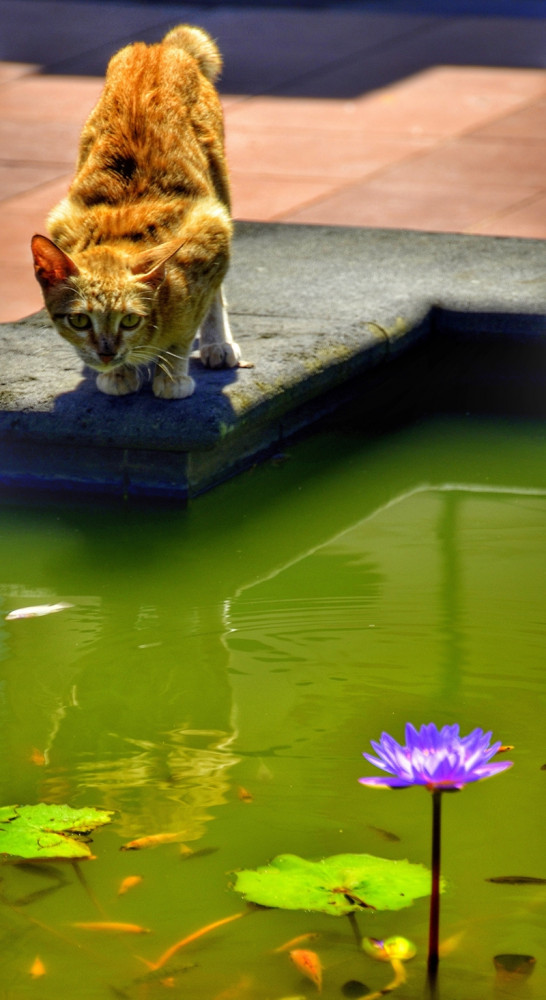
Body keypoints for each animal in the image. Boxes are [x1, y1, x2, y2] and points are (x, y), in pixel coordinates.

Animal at [30, 25, 239, 396]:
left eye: (129, 320)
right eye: (79, 320)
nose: (106, 354)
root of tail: (157, 47)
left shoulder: (210, 231)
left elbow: (188, 326)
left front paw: (172, 376)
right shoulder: (62, 221)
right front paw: (119, 374)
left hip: (221, 191)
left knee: (216, 293)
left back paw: (217, 343)